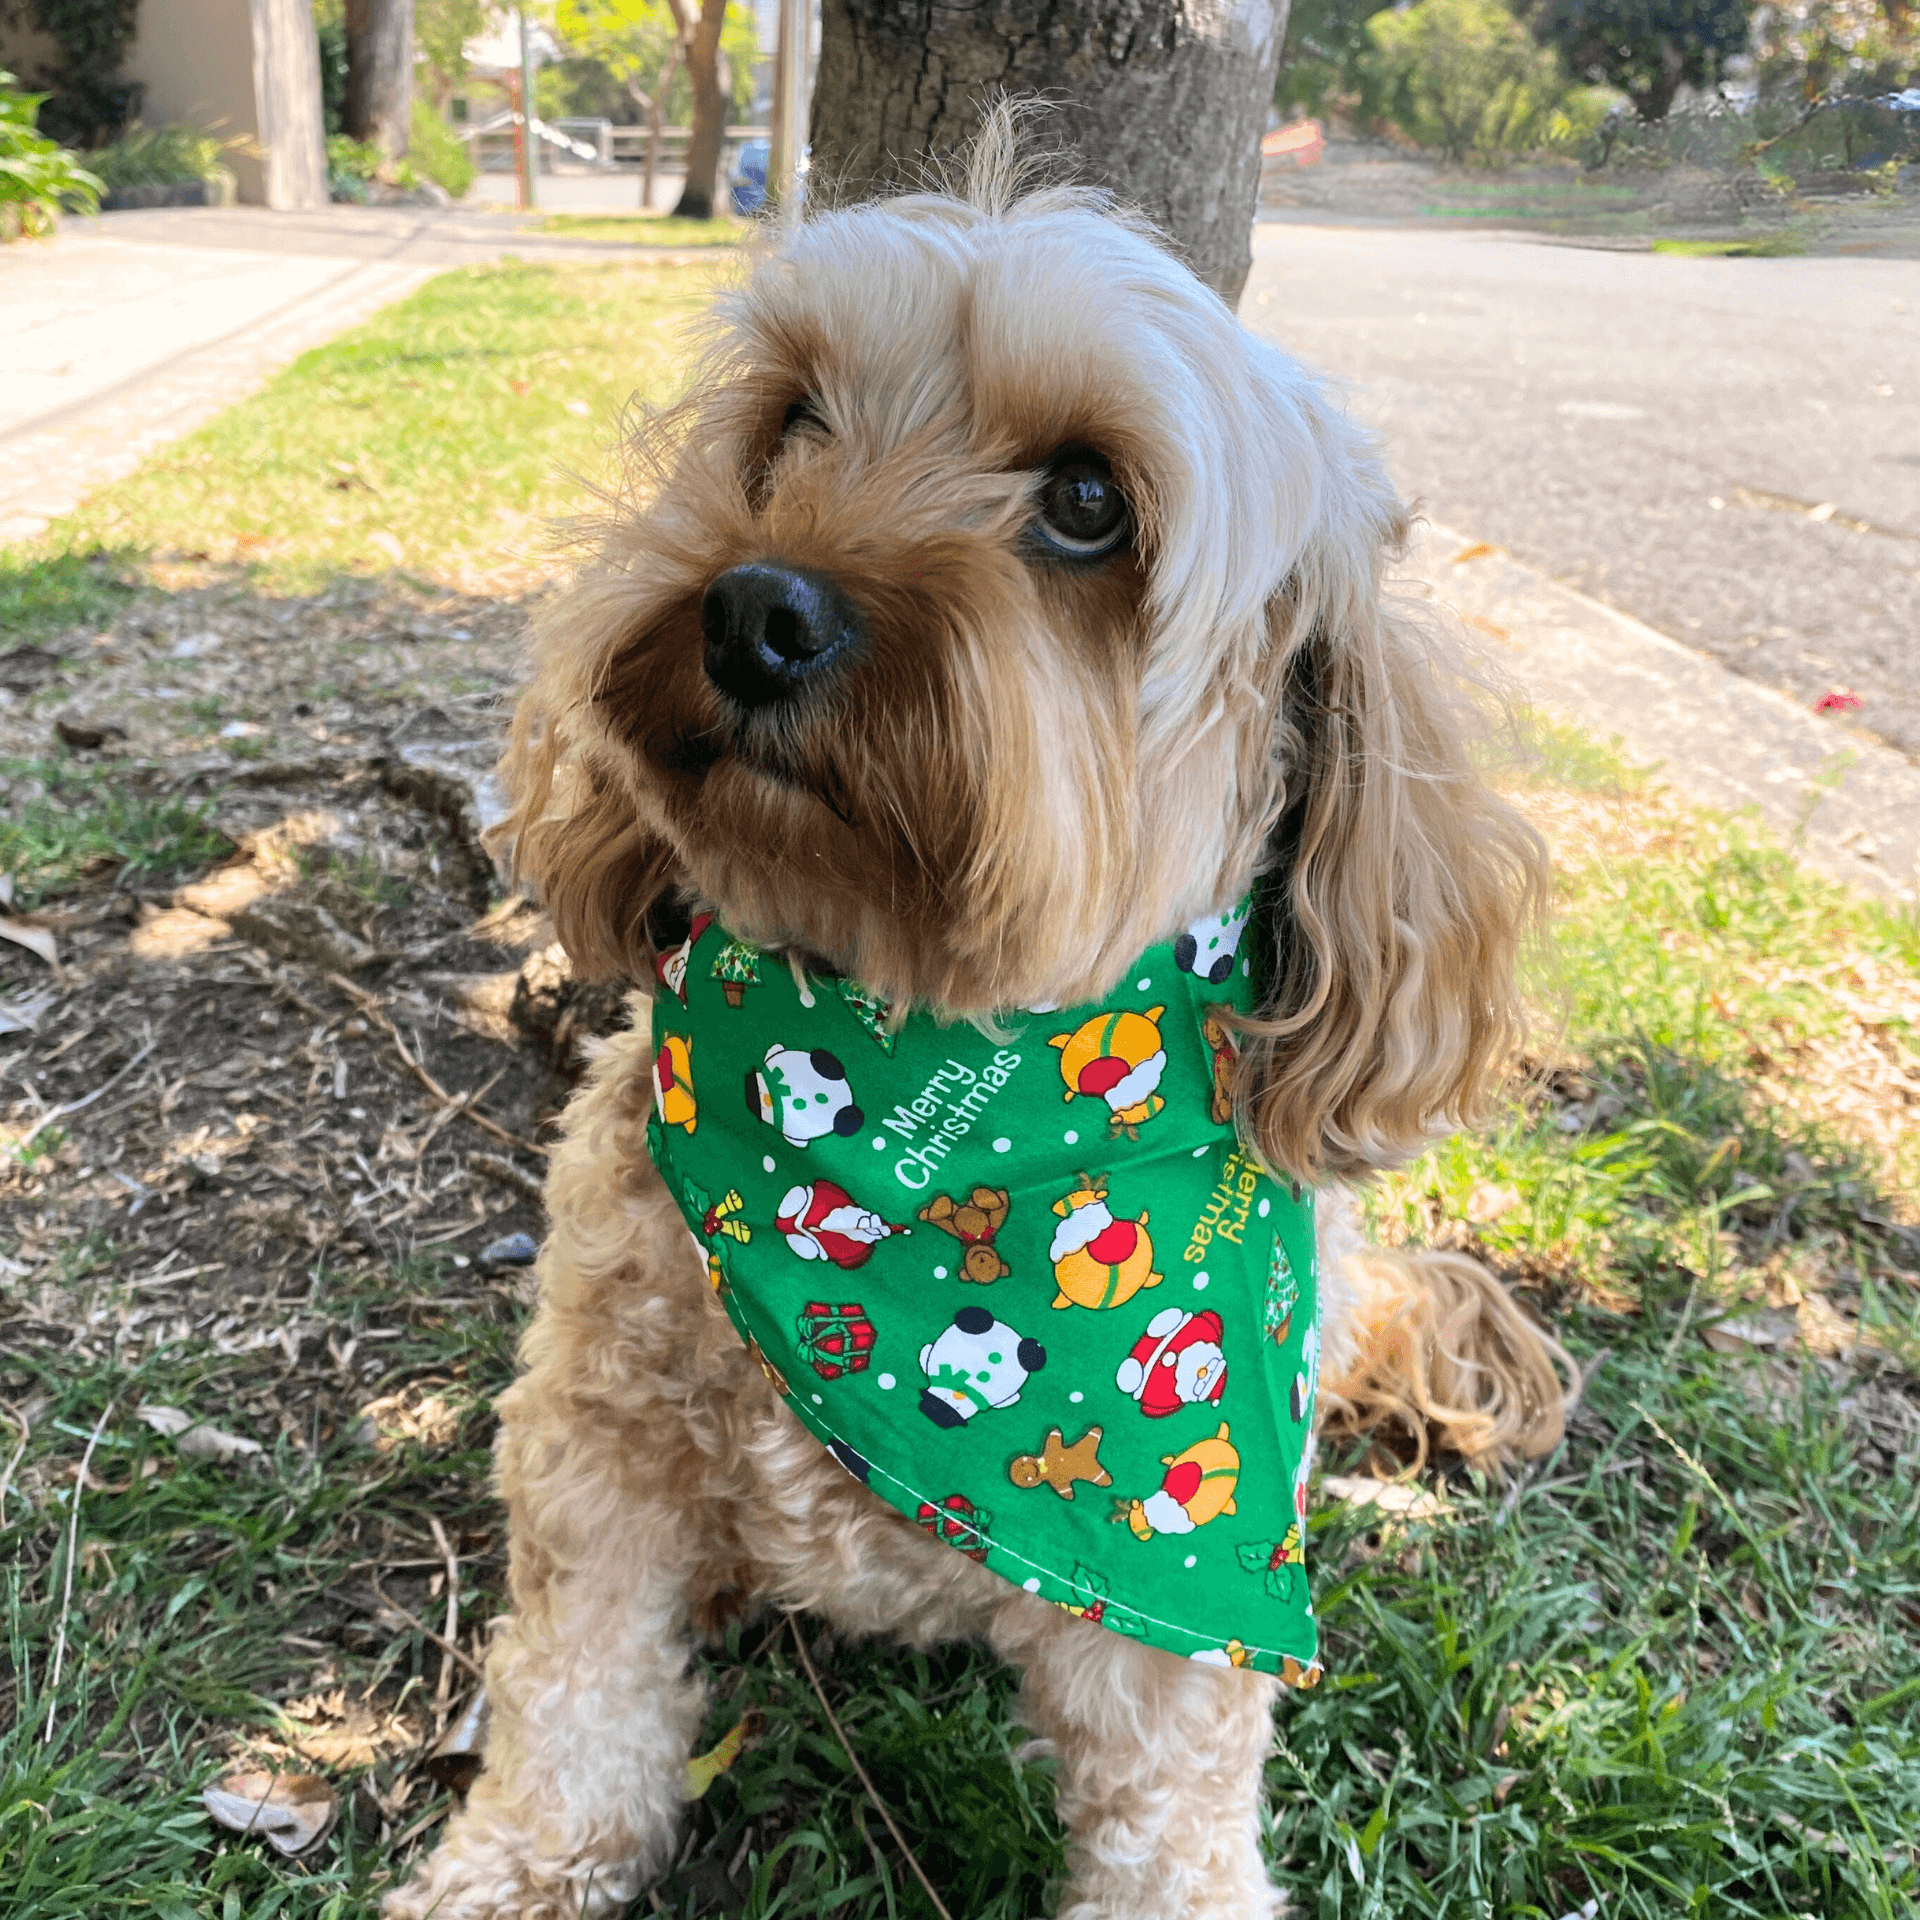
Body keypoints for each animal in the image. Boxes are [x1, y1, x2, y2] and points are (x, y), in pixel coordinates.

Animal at [389, 116, 1574, 1920]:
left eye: (1087, 502)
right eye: (793, 422)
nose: (755, 609)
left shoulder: (1176, 1623)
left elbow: (1169, 1835)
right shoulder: (598, 1448)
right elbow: (581, 1690)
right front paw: (516, 1863)